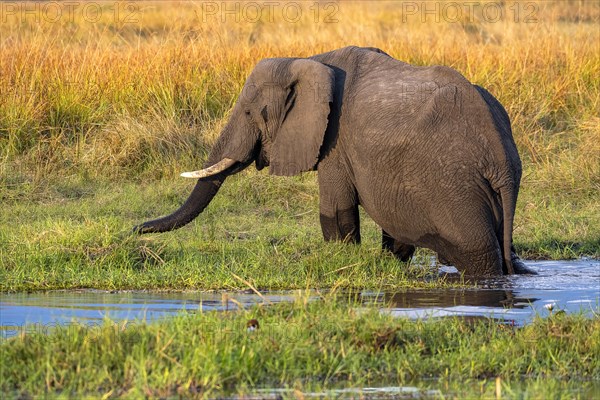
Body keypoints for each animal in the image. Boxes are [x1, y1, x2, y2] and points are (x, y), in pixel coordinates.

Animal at [136, 47, 528, 276]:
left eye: (249, 112)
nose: (136, 230)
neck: (306, 60)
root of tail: (502, 161)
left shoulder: (335, 142)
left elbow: (336, 210)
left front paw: (343, 258)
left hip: (454, 184)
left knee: (479, 252)